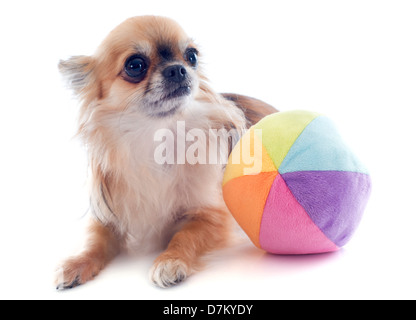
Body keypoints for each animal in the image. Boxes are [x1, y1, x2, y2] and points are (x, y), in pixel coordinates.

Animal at [55, 15, 276, 290]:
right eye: (135, 65)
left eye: (191, 56)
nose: (178, 68)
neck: (156, 137)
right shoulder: (107, 216)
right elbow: (93, 241)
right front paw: (75, 263)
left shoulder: (211, 216)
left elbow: (185, 235)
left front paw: (170, 261)